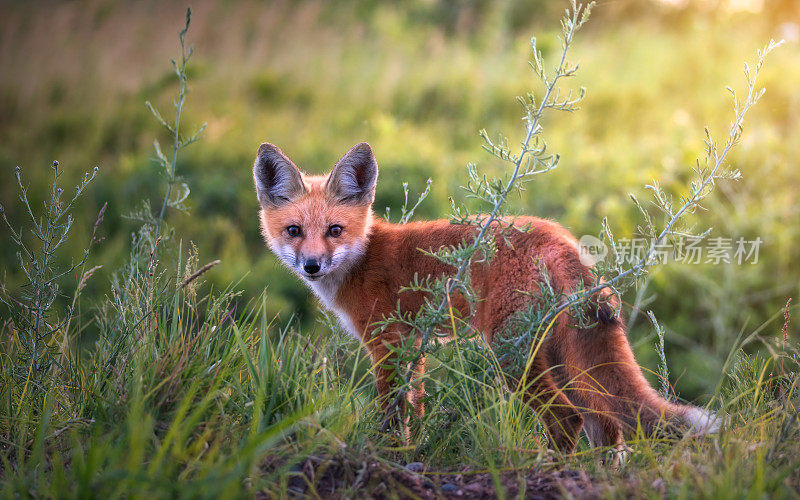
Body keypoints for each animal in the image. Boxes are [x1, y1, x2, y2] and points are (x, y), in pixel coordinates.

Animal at [252, 142, 720, 454]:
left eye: (335, 230)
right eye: (294, 231)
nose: (311, 265)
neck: (364, 255)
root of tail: (561, 238)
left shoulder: (388, 345)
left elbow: (391, 414)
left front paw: (386, 455)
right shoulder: (414, 347)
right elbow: (415, 411)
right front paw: (411, 453)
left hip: (511, 353)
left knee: (568, 419)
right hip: (558, 354)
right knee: (604, 420)